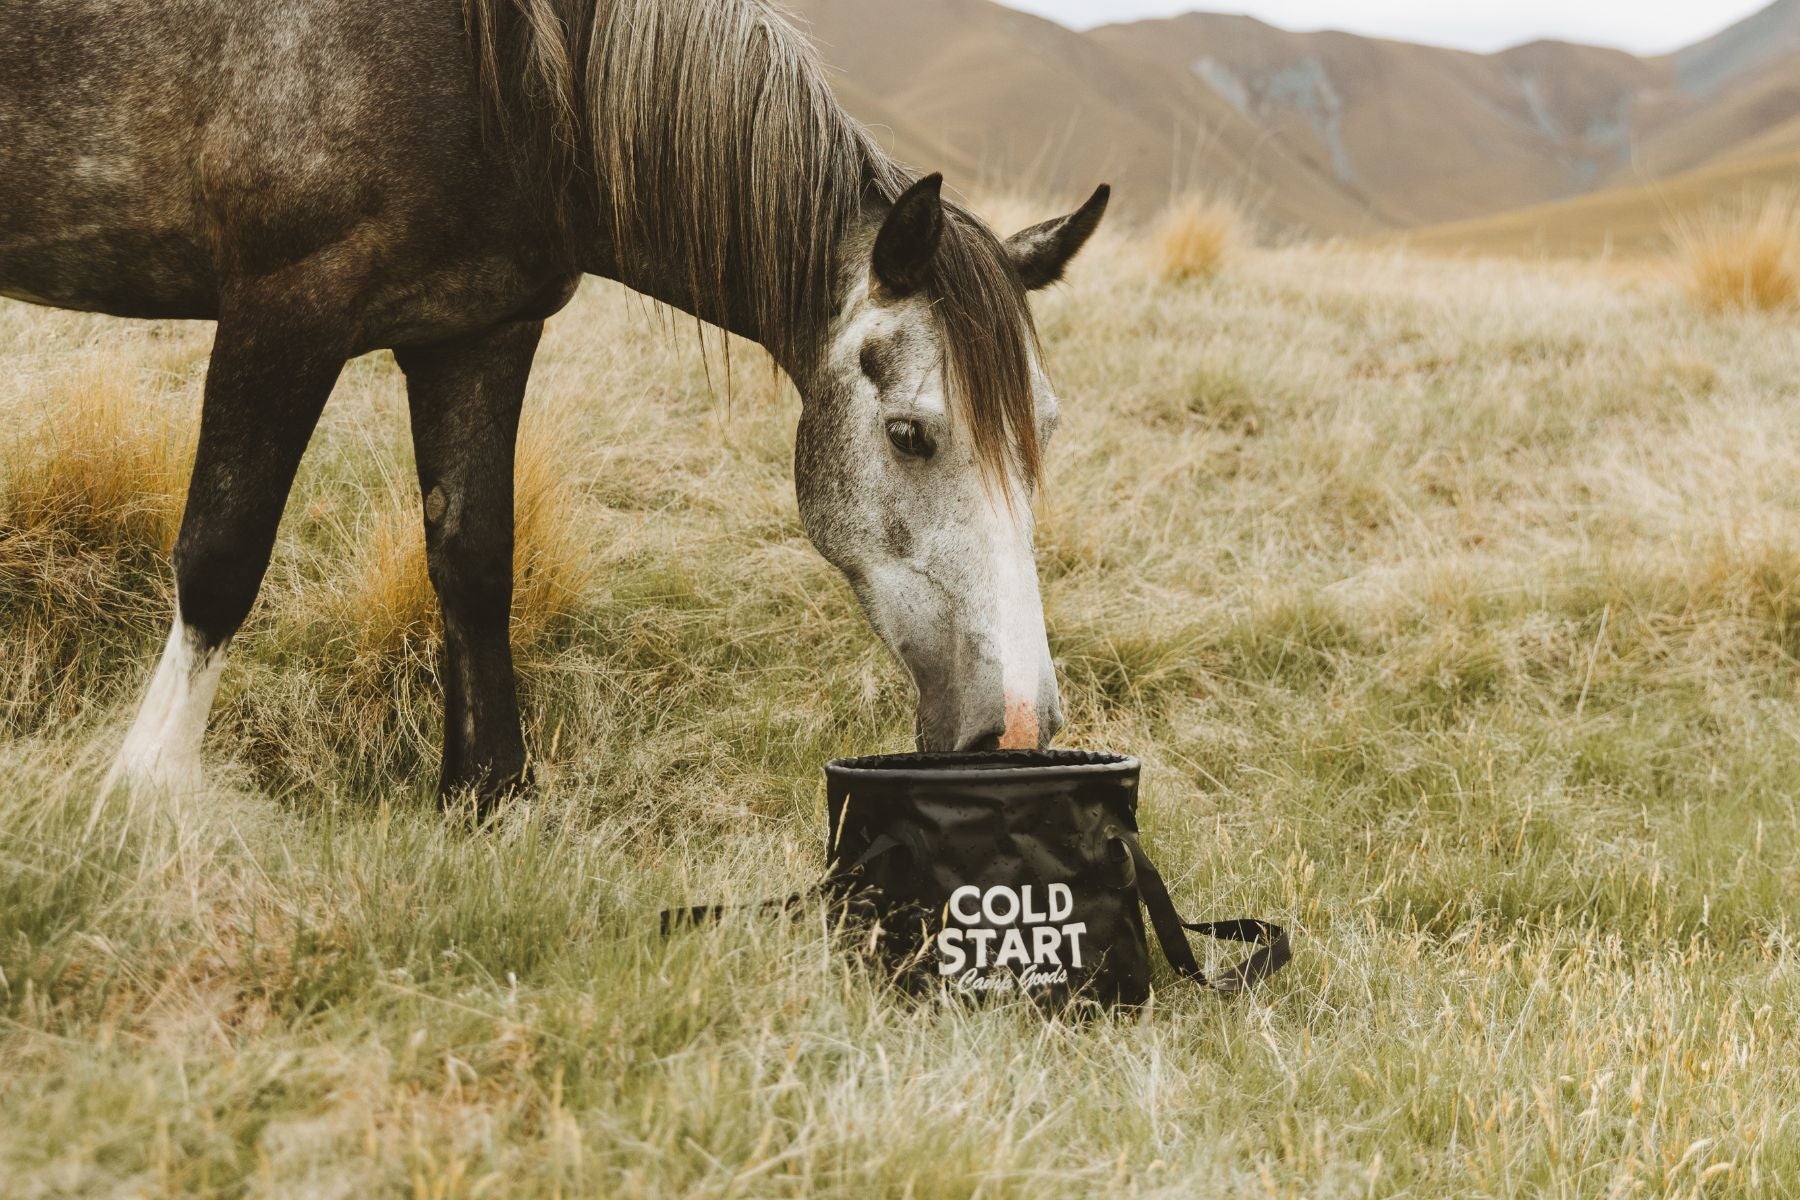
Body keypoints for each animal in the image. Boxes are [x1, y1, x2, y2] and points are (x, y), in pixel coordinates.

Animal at [0, 0, 1110, 805]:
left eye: (1045, 435)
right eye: (911, 435)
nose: (1016, 729)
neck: (498, 71)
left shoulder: (476, 334)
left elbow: (475, 563)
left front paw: (488, 797)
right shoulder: (287, 305)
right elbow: (222, 559)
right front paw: (143, 796)